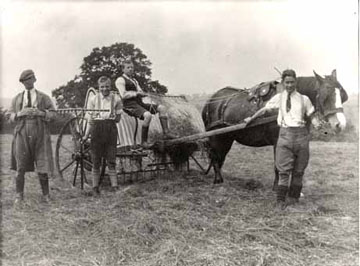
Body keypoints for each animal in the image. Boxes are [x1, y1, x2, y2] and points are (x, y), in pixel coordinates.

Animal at [201, 69, 348, 184]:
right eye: (326, 95)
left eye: (341, 95)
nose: (340, 124)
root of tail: (211, 100)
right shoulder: (278, 142)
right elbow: (279, 166)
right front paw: (277, 186)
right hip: (216, 136)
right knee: (215, 155)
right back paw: (218, 179)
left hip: (226, 137)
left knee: (220, 155)